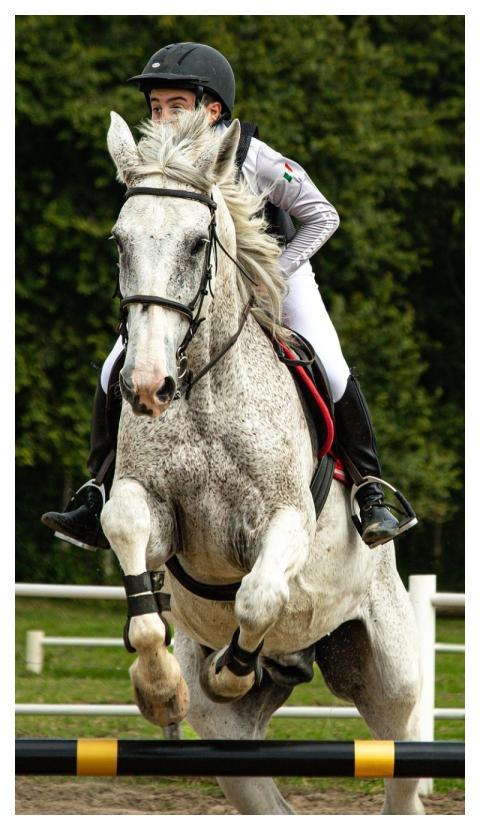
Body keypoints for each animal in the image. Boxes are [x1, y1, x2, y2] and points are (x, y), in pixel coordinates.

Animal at [101, 109, 425, 815]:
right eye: (119, 242)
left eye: (198, 243)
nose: (147, 386)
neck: (202, 390)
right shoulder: (151, 512)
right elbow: (128, 539)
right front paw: (160, 688)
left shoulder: (285, 523)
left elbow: (255, 598)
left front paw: (230, 668)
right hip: (234, 743)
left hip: (393, 679)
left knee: (402, 771)